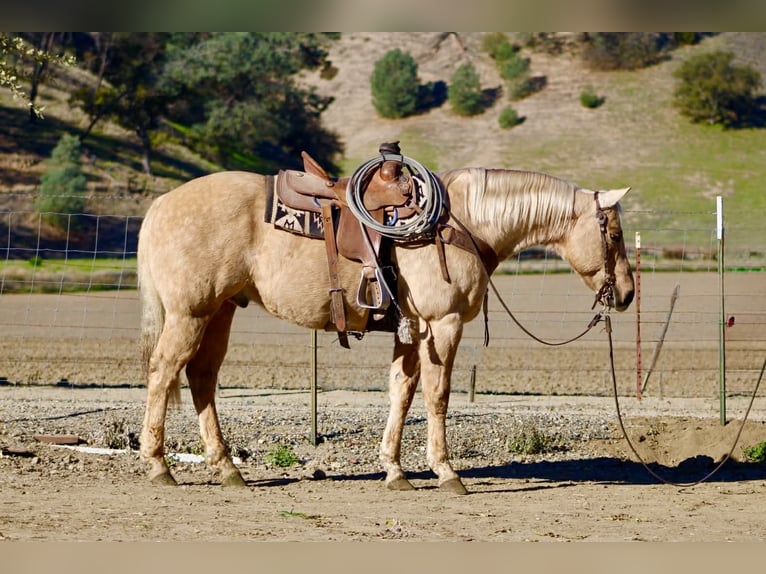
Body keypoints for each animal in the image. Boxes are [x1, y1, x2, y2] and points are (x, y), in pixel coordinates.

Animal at [137, 165, 634, 494]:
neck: (463, 225)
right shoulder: (442, 326)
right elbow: (437, 396)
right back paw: (160, 466)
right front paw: (446, 472)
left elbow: (402, 391)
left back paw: (227, 469)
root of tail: (161, 204)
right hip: (190, 314)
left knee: (201, 377)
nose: (627, 294)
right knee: (164, 372)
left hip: (219, 311)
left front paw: (395, 471)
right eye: (613, 234)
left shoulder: (412, 331)